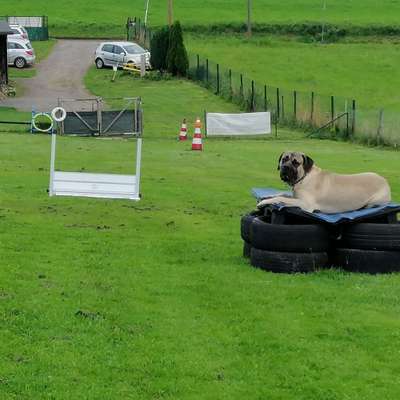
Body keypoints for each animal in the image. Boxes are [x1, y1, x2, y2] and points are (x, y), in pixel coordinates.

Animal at [256, 152, 390, 214]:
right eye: (284, 159)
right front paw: (267, 196)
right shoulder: (296, 196)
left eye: (296, 162)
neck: (305, 177)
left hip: (375, 200)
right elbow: (283, 194)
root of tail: (385, 181)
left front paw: (264, 202)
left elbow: (282, 198)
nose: (284, 167)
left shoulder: (305, 204)